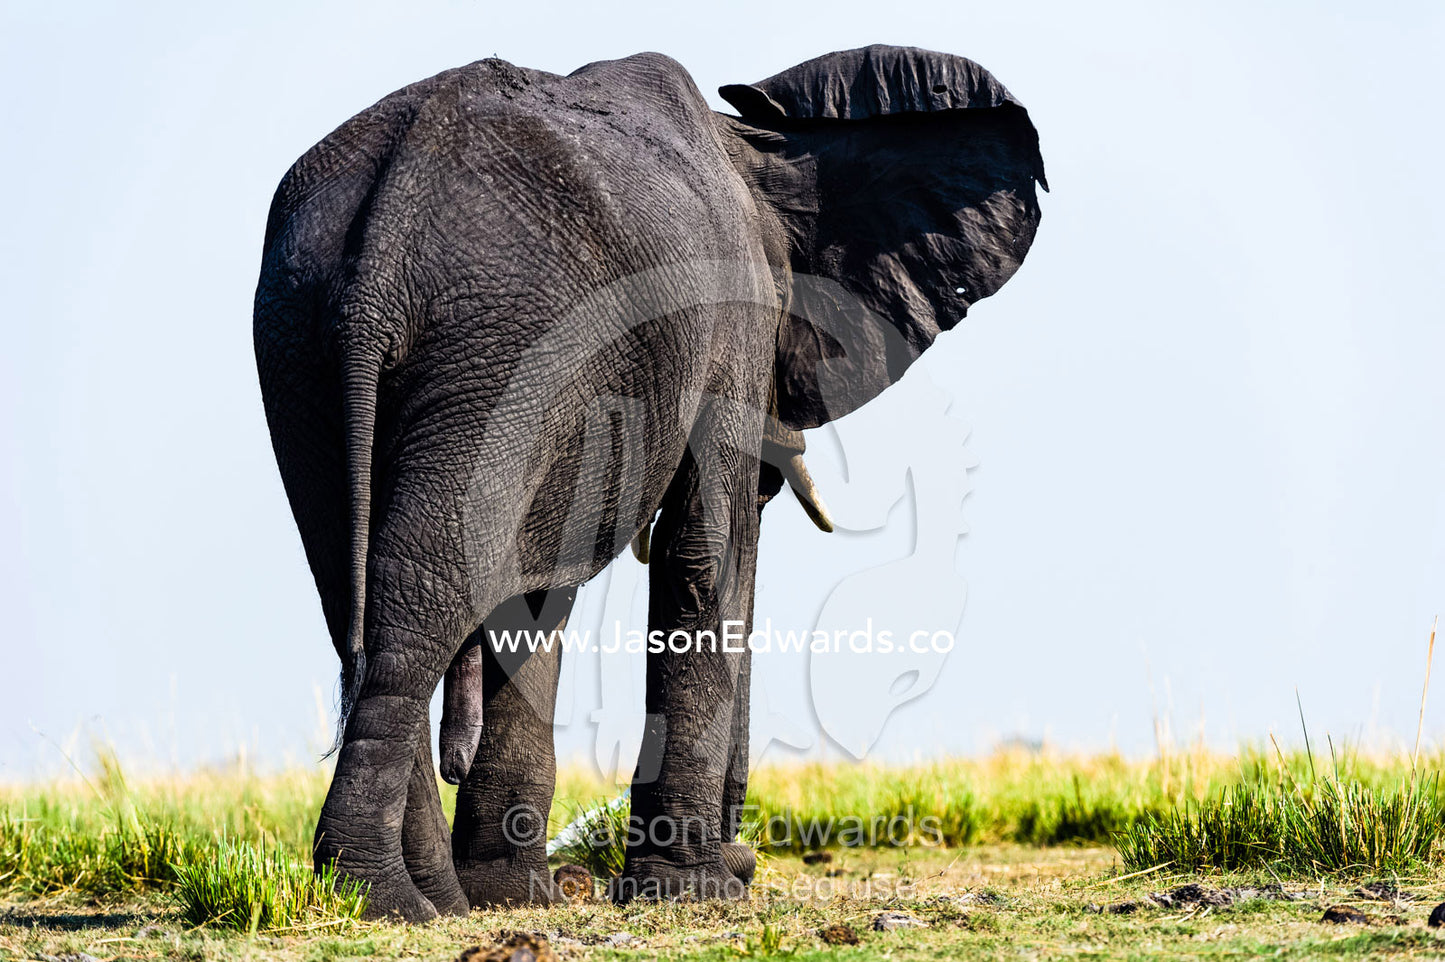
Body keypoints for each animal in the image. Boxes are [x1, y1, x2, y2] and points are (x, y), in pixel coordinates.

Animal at [253, 44, 1045, 920]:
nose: (746, 860)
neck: (752, 145)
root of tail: (384, 238)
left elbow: (543, 590)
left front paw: (521, 898)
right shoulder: (724, 321)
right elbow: (703, 549)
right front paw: (696, 893)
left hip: (309, 339)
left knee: (360, 597)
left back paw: (436, 901)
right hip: (499, 344)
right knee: (425, 591)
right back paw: (387, 901)